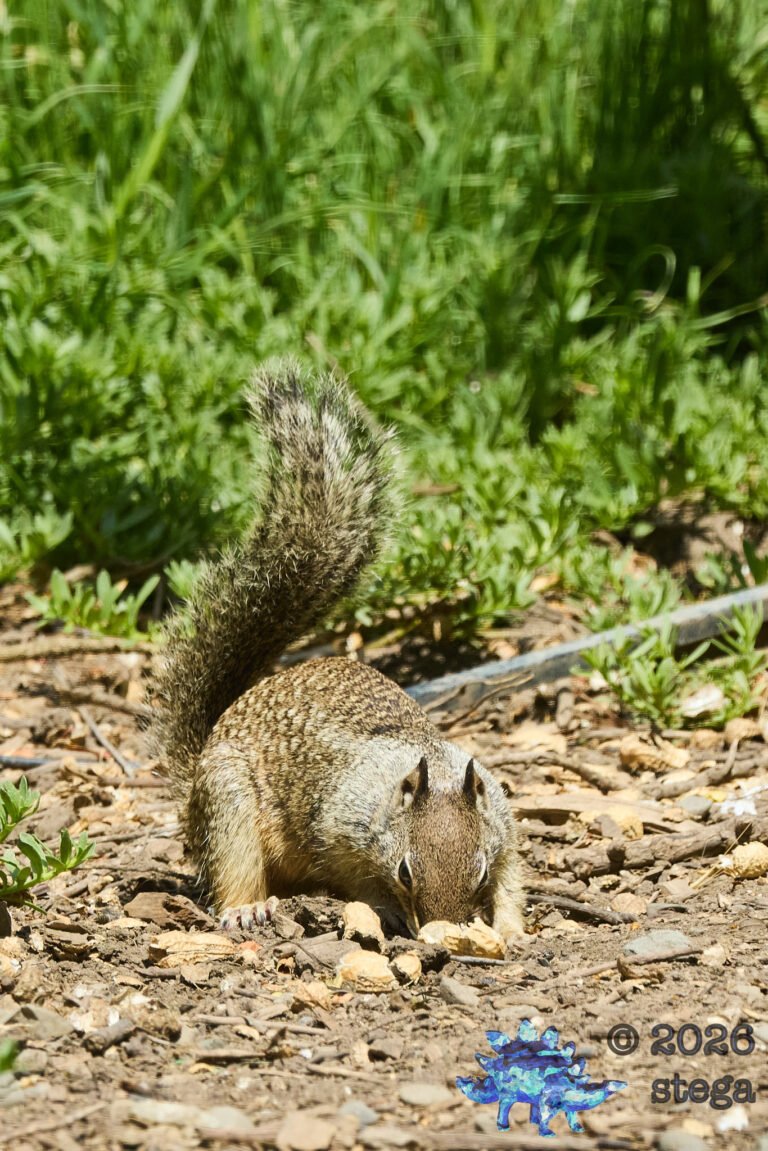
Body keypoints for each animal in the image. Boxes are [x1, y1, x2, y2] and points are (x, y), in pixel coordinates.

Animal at [151, 359, 524, 942]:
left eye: (479, 870)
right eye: (405, 871)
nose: (438, 929)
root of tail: (193, 779)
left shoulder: (502, 823)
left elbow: (512, 878)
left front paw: (507, 926)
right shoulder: (336, 831)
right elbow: (356, 879)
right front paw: (385, 908)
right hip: (227, 802)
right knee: (233, 867)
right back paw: (246, 908)